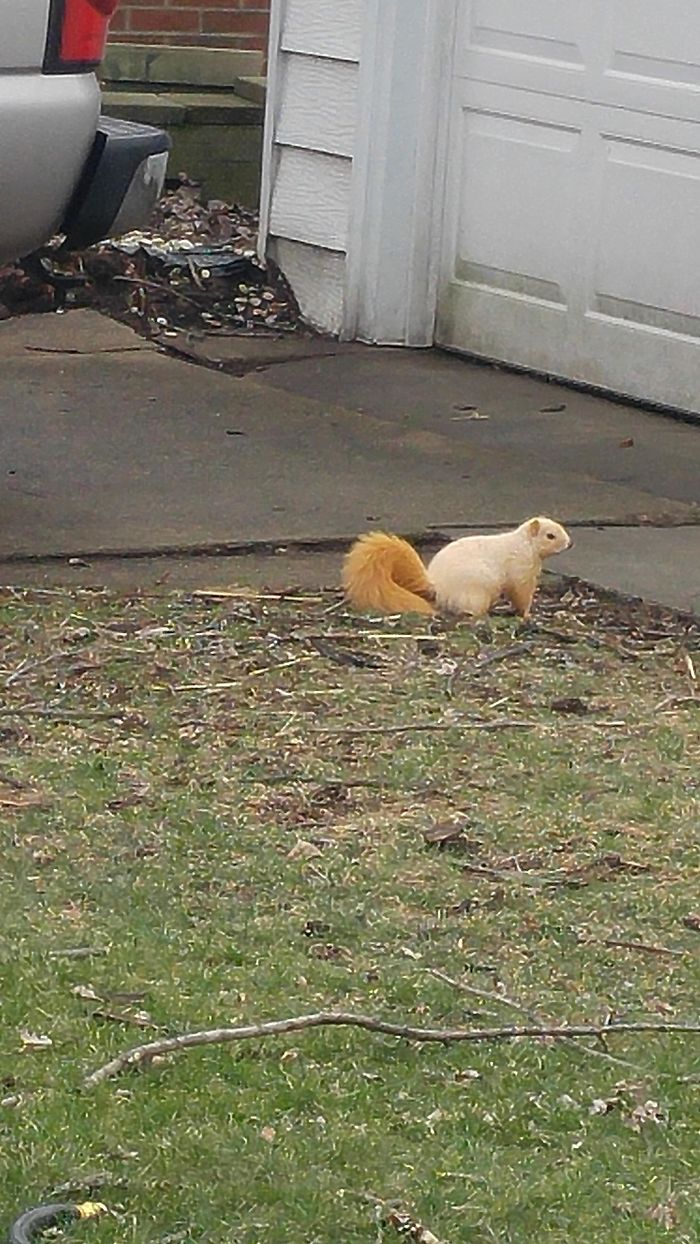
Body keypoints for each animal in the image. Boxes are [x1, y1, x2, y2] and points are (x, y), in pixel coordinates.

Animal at [342, 517, 572, 620]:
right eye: (550, 535)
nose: (570, 544)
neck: (525, 545)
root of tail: (436, 587)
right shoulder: (521, 571)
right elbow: (521, 595)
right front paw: (527, 614)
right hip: (476, 593)